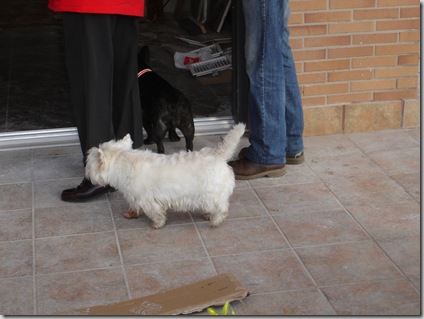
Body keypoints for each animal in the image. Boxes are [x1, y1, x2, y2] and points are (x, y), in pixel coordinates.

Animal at [84, 123, 245, 230]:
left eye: (89, 163)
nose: (86, 175)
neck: (124, 162)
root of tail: (218, 155)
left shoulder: (147, 199)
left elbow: (155, 212)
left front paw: (156, 224)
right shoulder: (135, 195)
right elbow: (134, 205)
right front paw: (131, 213)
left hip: (211, 193)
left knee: (222, 209)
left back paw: (215, 221)